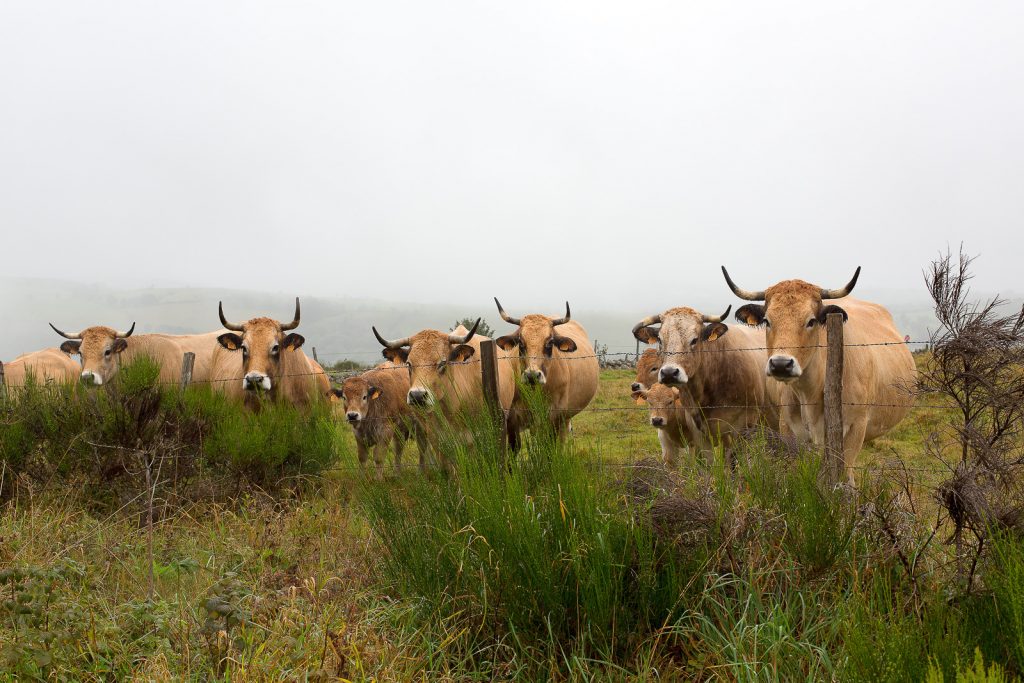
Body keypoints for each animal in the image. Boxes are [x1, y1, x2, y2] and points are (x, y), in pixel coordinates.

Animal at [493, 296, 598, 448]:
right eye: (521, 342)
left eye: (550, 342)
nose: (532, 375)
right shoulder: (512, 418)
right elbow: (515, 446)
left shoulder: (554, 416)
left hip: (565, 417)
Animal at [724, 264, 917, 483]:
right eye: (767, 321)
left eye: (811, 321)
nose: (781, 364)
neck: (811, 394)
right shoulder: (789, 430)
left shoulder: (855, 431)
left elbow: (845, 479)